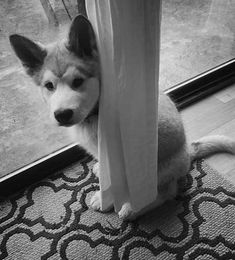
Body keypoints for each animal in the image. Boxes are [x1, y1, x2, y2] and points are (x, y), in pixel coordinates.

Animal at [9, 14, 235, 219]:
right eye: (49, 86)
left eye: (78, 81)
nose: (62, 114)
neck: (94, 114)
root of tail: (188, 151)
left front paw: (106, 199)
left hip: (156, 171)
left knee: (165, 193)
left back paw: (132, 210)